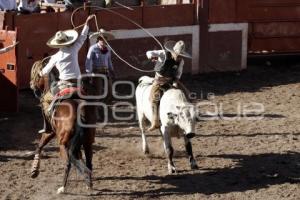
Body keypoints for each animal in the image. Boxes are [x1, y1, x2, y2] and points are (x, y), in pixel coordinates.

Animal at [29, 59, 96, 194]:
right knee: (88, 163)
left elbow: (39, 146)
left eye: (35, 74)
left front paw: (34, 171)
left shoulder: (50, 132)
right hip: (87, 142)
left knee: (68, 163)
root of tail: (79, 112)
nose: (31, 85)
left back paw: (62, 188)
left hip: (62, 144)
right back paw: (89, 184)